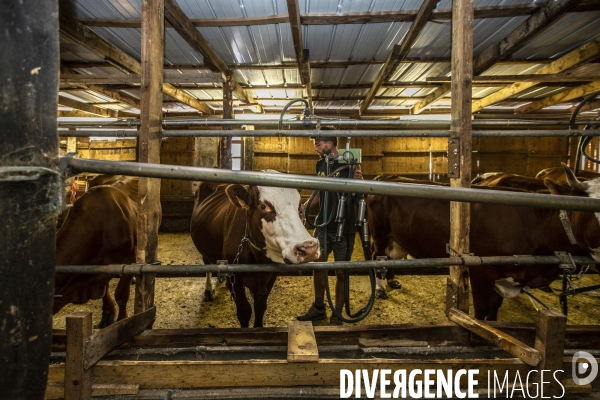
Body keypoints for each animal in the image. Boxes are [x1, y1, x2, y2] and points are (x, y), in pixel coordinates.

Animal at [54, 177, 142, 326]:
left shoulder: (130, 257)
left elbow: (121, 294)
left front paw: (123, 320)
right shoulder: (99, 268)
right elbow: (105, 290)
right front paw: (108, 312)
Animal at [192, 180, 318, 326]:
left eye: (299, 206)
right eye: (263, 206)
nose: (309, 248)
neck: (258, 259)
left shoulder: (270, 276)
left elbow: (260, 307)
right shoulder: (234, 277)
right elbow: (244, 311)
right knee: (206, 262)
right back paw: (208, 289)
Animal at [368, 166, 600, 322]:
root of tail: (386, 176)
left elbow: (495, 306)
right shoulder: (481, 269)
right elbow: (482, 308)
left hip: (396, 238)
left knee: (389, 258)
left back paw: (392, 280)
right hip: (379, 233)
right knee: (376, 257)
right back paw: (380, 289)